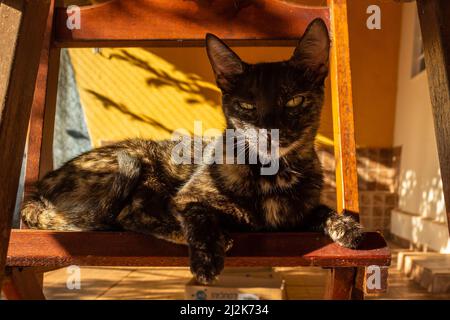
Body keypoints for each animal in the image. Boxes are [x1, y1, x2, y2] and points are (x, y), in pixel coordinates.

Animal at [22, 18, 364, 284]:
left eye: (294, 101)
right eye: (247, 106)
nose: (270, 133)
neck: (273, 176)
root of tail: (38, 186)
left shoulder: (300, 215)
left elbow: (324, 210)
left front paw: (348, 226)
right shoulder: (189, 196)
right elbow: (197, 213)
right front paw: (206, 256)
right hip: (139, 160)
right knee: (128, 215)